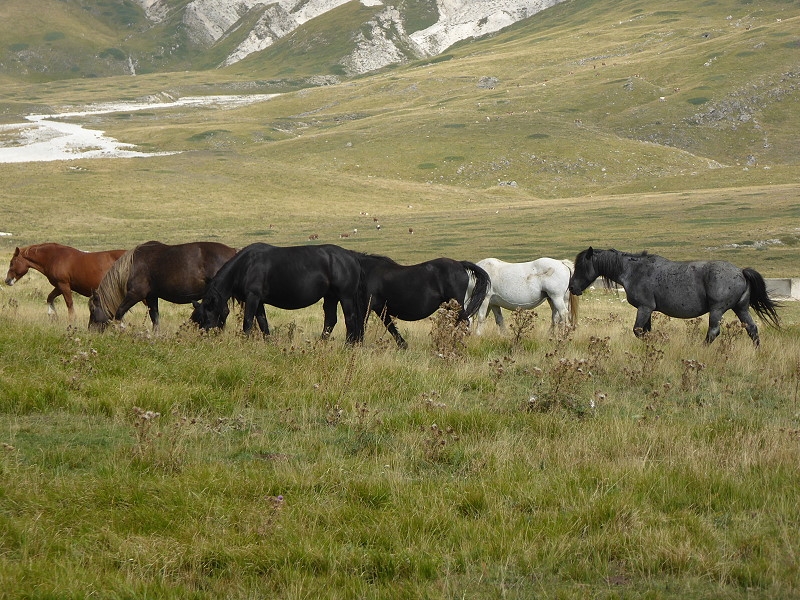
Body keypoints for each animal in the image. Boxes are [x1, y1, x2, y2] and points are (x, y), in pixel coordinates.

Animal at [90, 240, 238, 332]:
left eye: (92, 310)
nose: (91, 330)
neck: (132, 266)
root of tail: (233, 251)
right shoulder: (151, 297)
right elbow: (155, 317)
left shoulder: (135, 294)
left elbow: (119, 312)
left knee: (223, 311)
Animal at [191, 240, 366, 342]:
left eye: (205, 318)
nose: (201, 339)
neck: (246, 265)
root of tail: (351, 256)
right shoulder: (258, 300)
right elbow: (262, 323)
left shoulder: (252, 297)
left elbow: (248, 322)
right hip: (330, 297)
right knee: (330, 321)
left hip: (345, 297)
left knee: (350, 320)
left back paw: (348, 346)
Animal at [354, 252, 490, 346]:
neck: (368, 272)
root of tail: (460, 264)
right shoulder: (380, 308)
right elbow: (390, 326)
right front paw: (403, 345)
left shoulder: (368, 305)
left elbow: (362, 325)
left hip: (456, 305)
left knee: (464, 323)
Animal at [568, 246, 780, 344]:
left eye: (581, 266)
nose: (572, 288)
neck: (633, 270)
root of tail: (741, 272)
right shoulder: (648, 310)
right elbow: (646, 331)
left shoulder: (644, 308)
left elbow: (638, 331)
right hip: (741, 308)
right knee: (752, 329)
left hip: (717, 310)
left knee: (713, 332)